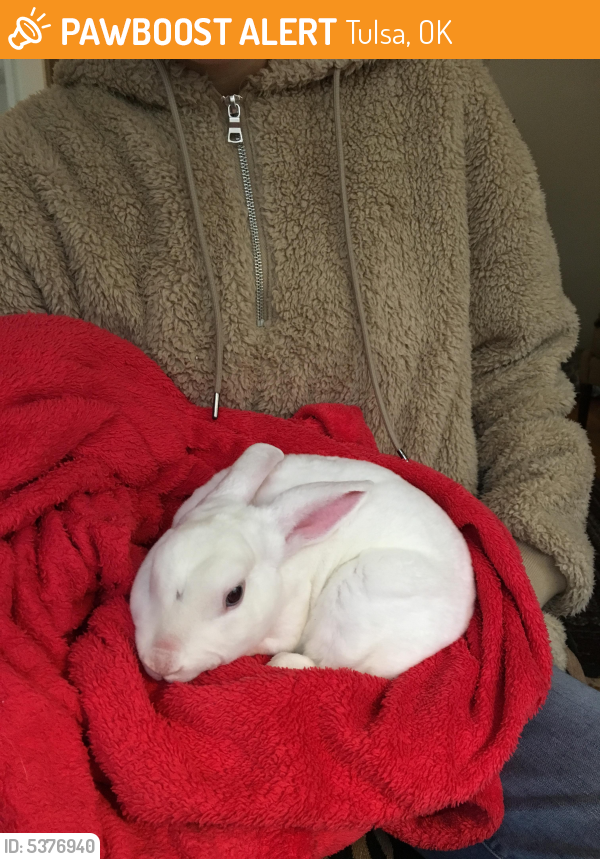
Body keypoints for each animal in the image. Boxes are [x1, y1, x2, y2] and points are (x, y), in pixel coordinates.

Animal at [130, 443, 475, 683]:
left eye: (234, 595)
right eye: (153, 574)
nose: (161, 662)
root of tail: (467, 602)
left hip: (357, 598)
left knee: (332, 665)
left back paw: (284, 663)